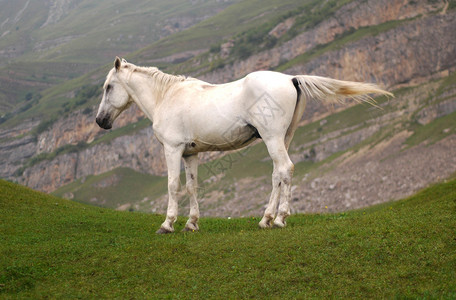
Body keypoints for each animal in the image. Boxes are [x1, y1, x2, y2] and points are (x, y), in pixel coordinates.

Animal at [96, 56, 392, 234]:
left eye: (109, 87)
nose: (101, 121)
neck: (167, 96)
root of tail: (291, 78)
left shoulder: (172, 149)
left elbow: (172, 186)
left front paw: (167, 224)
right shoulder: (191, 154)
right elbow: (191, 186)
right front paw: (191, 223)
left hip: (273, 138)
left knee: (285, 169)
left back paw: (279, 218)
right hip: (283, 138)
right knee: (277, 175)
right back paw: (266, 219)